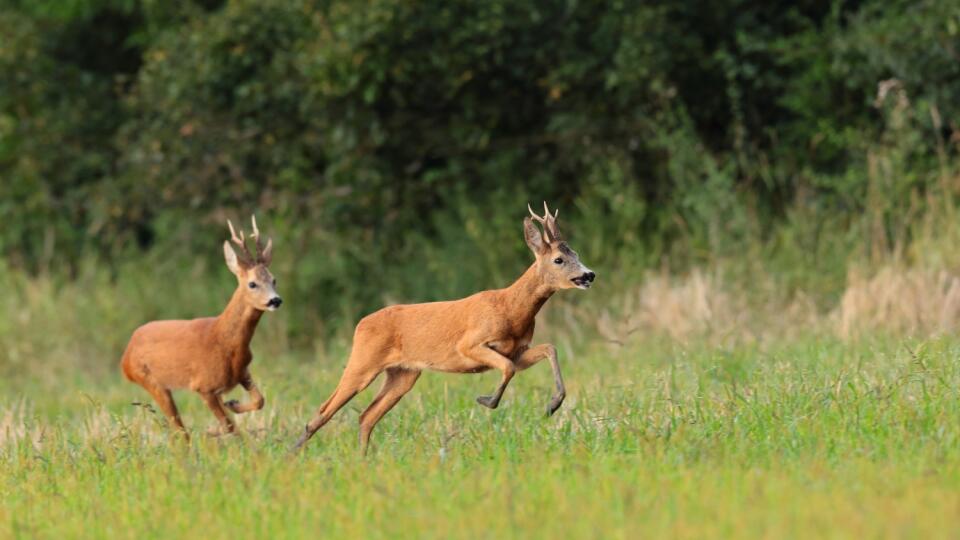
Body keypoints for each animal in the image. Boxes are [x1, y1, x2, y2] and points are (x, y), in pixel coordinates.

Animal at [120, 215, 282, 438]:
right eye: (252, 283)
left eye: (274, 279)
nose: (275, 300)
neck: (224, 340)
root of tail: (125, 358)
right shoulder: (203, 386)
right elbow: (230, 427)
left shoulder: (242, 372)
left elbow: (260, 401)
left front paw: (233, 404)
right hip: (151, 381)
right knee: (180, 431)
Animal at [292, 201, 592, 452]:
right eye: (558, 260)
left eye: (576, 253)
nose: (589, 274)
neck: (511, 308)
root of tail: (360, 324)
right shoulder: (470, 345)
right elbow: (507, 368)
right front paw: (487, 401)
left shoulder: (517, 350)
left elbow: (548, 348)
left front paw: (553, 405)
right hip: (363, 361)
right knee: (325, 410)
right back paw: (293, 455)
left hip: (403, 374)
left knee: (367, 416)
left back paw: (361, 459)